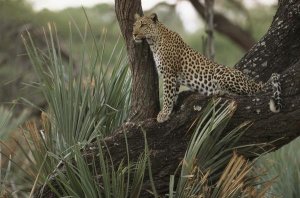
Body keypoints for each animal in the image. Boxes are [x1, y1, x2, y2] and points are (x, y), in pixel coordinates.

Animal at [132, 12, 282, 122]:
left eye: (143, 25)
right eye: (134, 25)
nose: (134, 34)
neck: (154, 41)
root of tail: (250, 81)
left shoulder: (169, 74)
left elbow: (167, 95)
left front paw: (163, 114)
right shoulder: (174, 77)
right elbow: (173, 94)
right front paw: (172, 109)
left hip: (222, 74)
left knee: (250, 92)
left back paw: (220, 92)